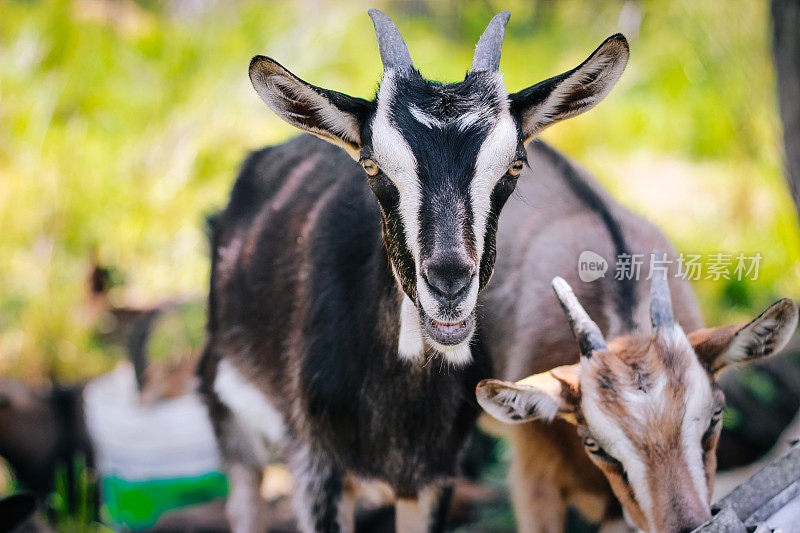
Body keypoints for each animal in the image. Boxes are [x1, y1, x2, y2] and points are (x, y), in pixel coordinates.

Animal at [197, 9, 628, 532]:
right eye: (372, 167)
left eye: (515, 166)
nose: (449, 283)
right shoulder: (317, 468)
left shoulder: (434, 475)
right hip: (225, 401)